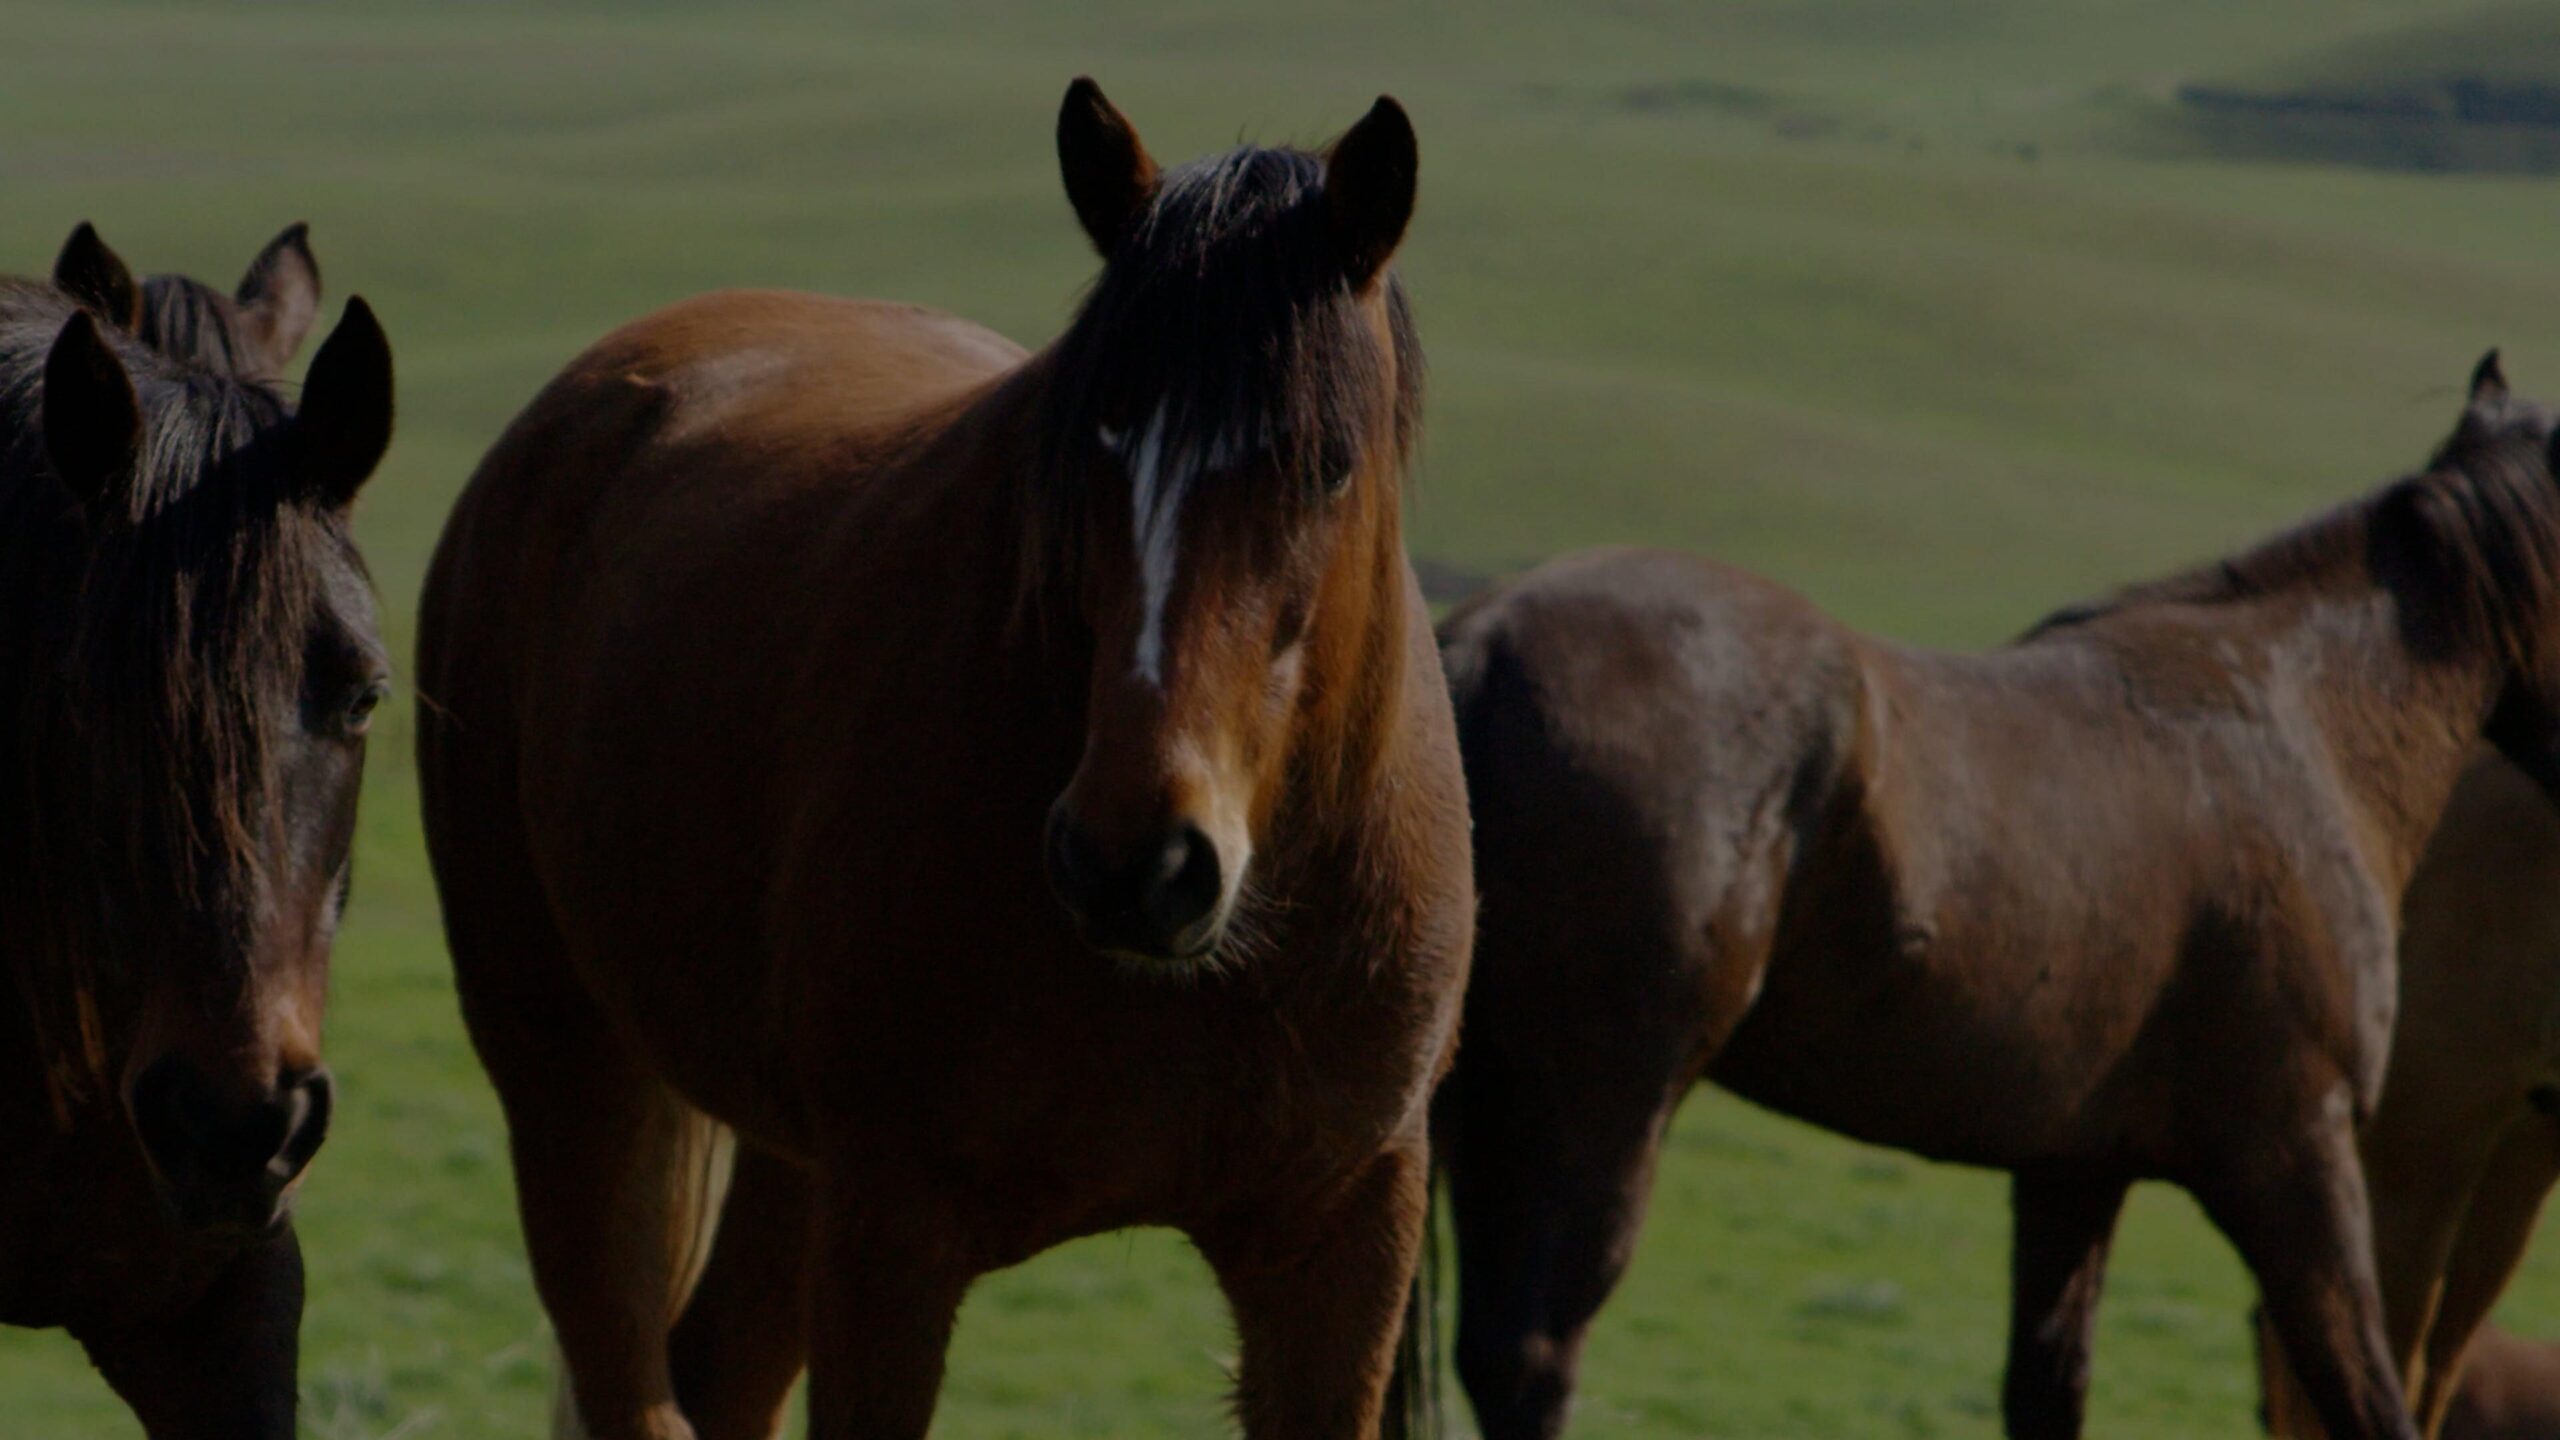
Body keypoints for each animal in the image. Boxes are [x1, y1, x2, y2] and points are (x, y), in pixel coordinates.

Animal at [415, 78, 1473, 1440]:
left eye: (1325, 466)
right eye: (1094, 440)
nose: (1136, 864)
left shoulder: (1342, 1248)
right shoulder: (892, 1238)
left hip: (783, 1155)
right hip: (568, 1064)